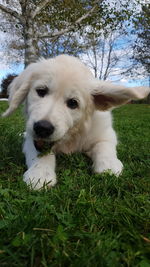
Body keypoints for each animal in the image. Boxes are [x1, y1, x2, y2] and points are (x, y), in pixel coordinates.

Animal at [2, 55, 149, 191]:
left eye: (73, 103)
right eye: (41, 91)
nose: (42, 128)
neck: (73, 135)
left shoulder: (106, 133)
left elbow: (104, 146)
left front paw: (108, 165)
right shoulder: (32, 139)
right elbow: (38, 153)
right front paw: (39, 173)